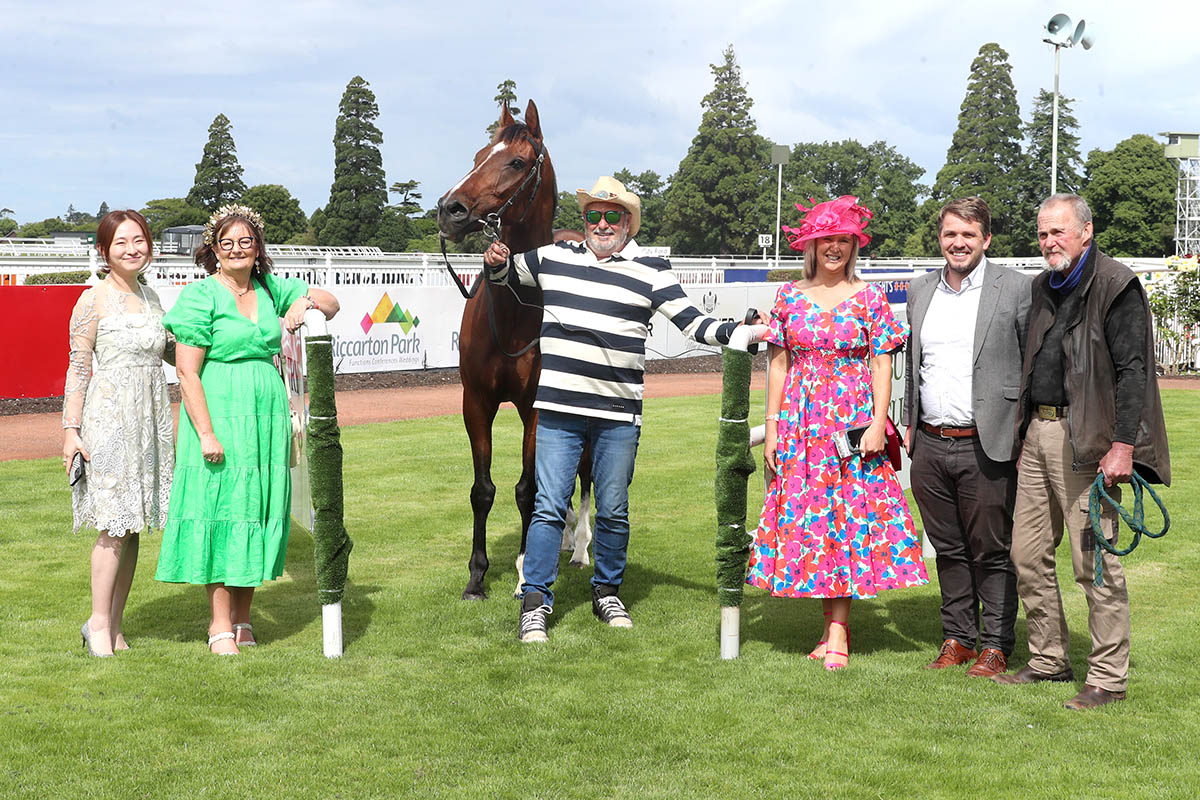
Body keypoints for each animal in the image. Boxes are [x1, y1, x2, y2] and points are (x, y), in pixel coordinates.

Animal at [439, 100, 592, 597]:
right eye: (478, 156)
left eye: (518, 162)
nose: (450, 209)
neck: (513, 316)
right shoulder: (476, 402)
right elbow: (482, 489)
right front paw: (476, 576)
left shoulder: (537, 408)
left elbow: (528, 489)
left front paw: (527, 569)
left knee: (583, 477)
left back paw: (579, 547)